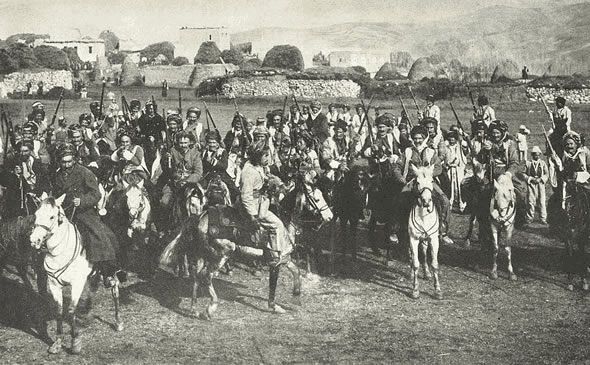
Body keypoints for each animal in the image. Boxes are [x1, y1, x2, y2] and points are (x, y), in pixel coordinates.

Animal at [30, 195, 123, 354]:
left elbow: (71, 310)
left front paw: (75, 343)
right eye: (36, 215)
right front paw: (57, 342)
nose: (33, 240)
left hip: (110, 271)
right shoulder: (54, 284)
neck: (60, 252)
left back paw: (118, 322)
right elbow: (59, 311)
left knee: (115, 290)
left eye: (52, 216)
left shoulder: (77, 283)